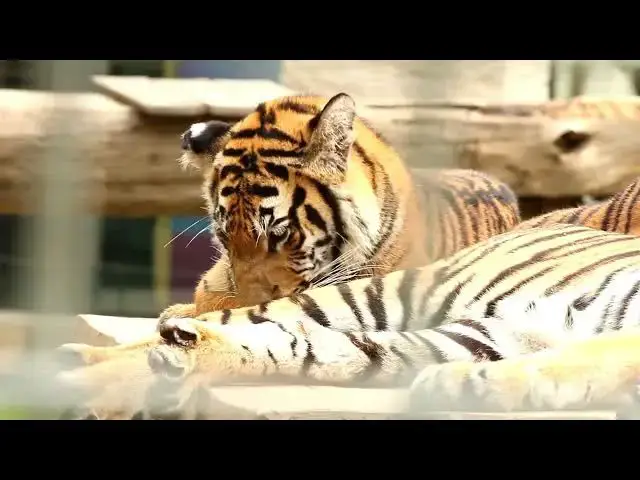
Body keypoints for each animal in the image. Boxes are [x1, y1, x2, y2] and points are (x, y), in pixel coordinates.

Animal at [56, 223, 640, 419]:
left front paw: (471, 387)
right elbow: (585, 357)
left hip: (467, 332)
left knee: (314, 348)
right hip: (380, 294)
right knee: (250, 318)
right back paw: (79, 367)